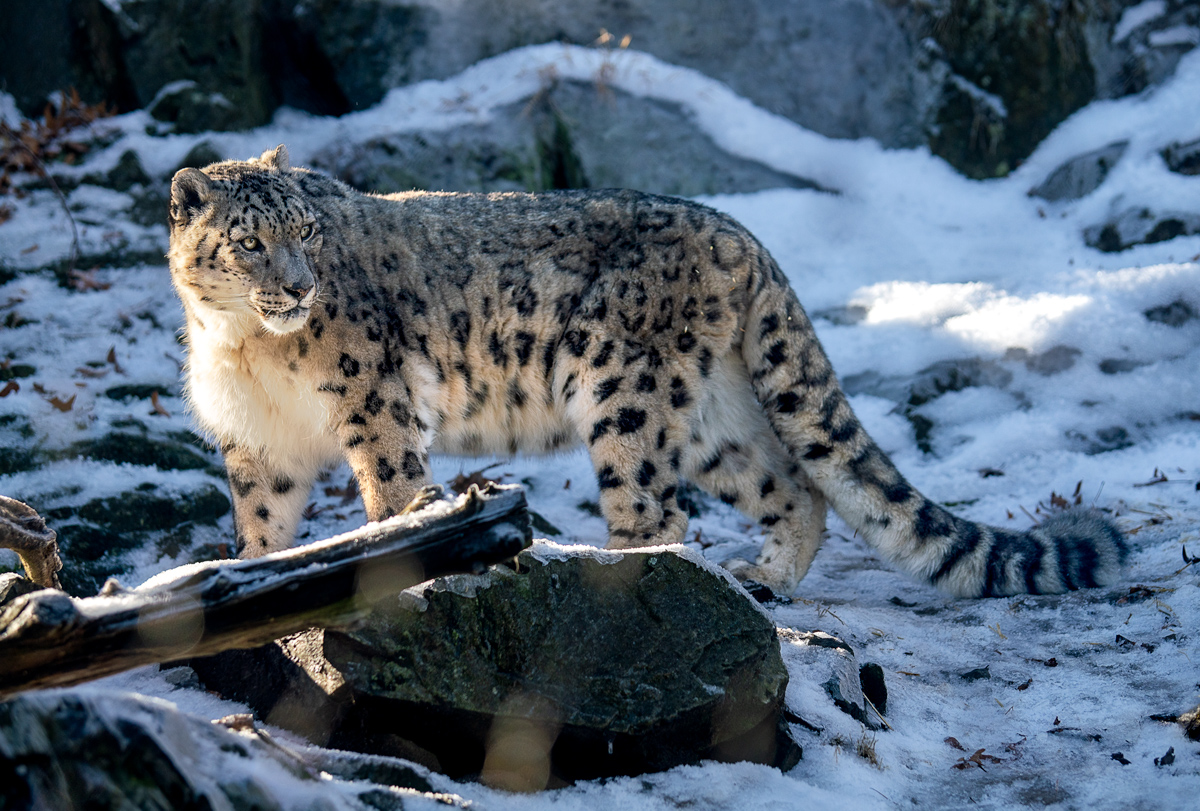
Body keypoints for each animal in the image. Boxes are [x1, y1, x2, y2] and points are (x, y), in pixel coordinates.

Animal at [166, 145, 1126, 598]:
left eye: (308, 231)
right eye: (250, 242)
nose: (299, 287)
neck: (245, 345)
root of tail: (740, 232)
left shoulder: (377, 407)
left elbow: (394, 492)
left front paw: (396, 562)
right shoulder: (260, 446)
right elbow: (261, 522)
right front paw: (249, 577)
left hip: (622, 389)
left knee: (657, 510)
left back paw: (619, 576)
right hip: (708, 415)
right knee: (792, 486)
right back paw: (764, 579)